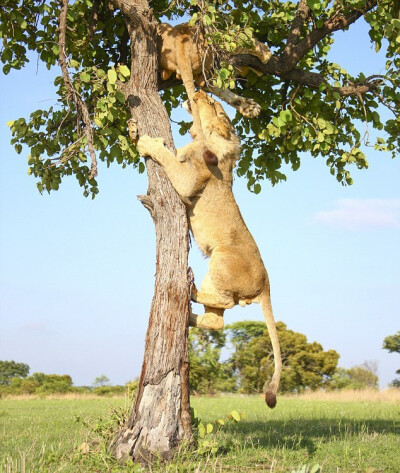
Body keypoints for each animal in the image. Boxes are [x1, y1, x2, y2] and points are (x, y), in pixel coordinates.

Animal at [137, 91, 282, 406]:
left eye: (215, 105)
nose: (201, 91)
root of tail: (267, 283)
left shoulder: (189, 181)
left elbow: (168, 159)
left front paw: (147, 143)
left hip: (220, 257)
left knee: (227, 302)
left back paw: (190, 293)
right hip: (213, 274)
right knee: (217, 322)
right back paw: (189, 316)